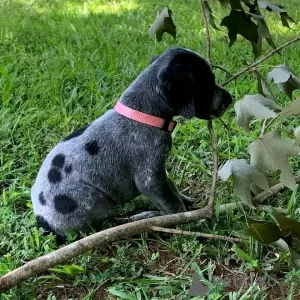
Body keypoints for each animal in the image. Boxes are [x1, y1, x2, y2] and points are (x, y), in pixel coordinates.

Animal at [31, 47, 232, 244]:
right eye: (206, 83)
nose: (229, 99)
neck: (144, 115)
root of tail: (43, 222)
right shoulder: (150, 179)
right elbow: (173, 205)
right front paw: (185, 222)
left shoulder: (159, 172)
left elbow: (173, 188)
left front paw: (188, 203)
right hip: (95, 201)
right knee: (113, 224)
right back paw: (146, 217)